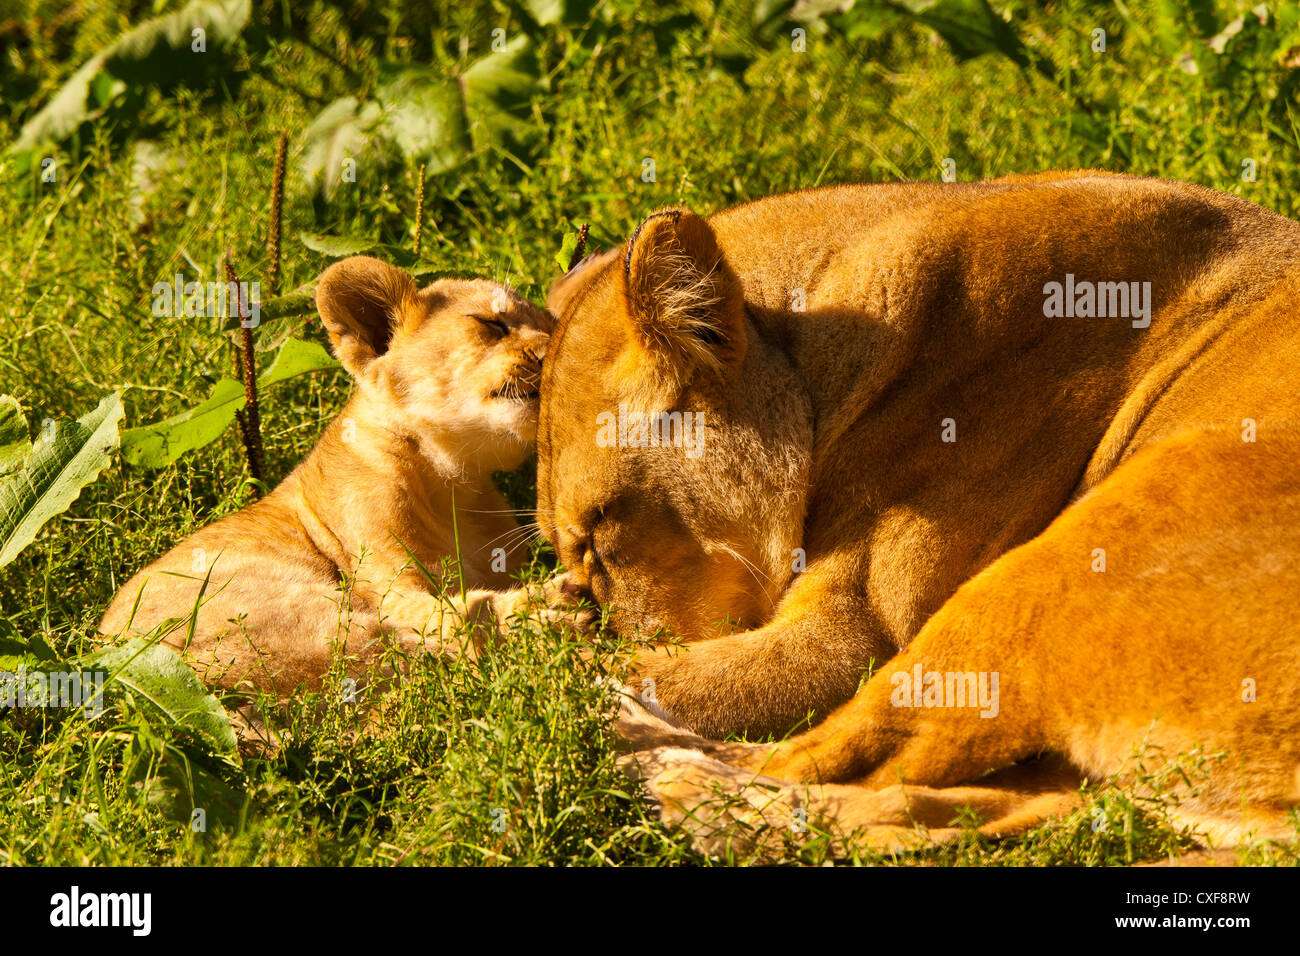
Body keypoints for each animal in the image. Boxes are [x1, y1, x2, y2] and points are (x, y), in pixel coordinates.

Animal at [101, 256, 552, 695]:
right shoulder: (387, 576)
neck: (457, 482)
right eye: (493, 324)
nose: (553, 354)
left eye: (552, 327)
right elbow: (446, 621)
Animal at [538, 171, 1300, 850]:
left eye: (601, 531)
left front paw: (535, 654)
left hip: (1055, 569)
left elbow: (652, 671)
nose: (588, 601)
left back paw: (639, 757)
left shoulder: (856, 635)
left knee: (817, 760)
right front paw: (544, 613)